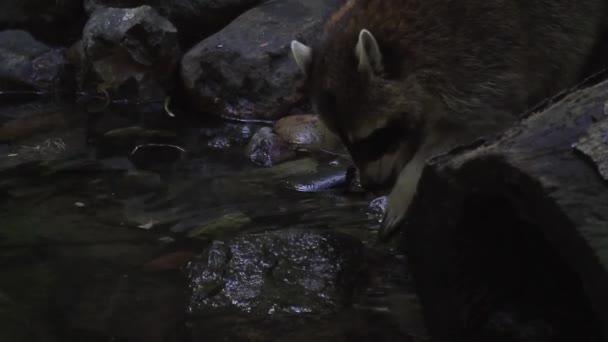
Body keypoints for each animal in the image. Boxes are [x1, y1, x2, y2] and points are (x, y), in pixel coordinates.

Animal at [290, 0, 608, 240]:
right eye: (345, 141)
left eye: (374, 137)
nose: (370, 184)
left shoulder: (484, 60)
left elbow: (471, 125)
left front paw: (407, 181)